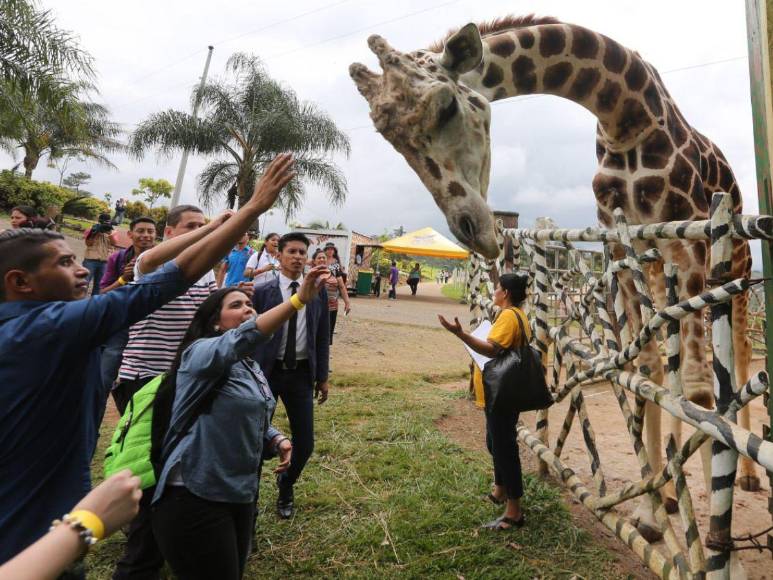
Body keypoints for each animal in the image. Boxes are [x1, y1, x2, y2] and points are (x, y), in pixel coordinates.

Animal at [350, 15, 759, 543]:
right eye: (389, 137)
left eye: (446, 106)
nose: (473, 230)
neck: (625, 113)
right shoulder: (624, 248)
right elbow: (645, 370)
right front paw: (649, 516)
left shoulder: (689, 247)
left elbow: (700, 388)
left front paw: (714, 538)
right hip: (658, 270)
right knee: (663, 363)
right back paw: (670, 496)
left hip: (734, 263)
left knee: (740, 356)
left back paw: (745, 477)